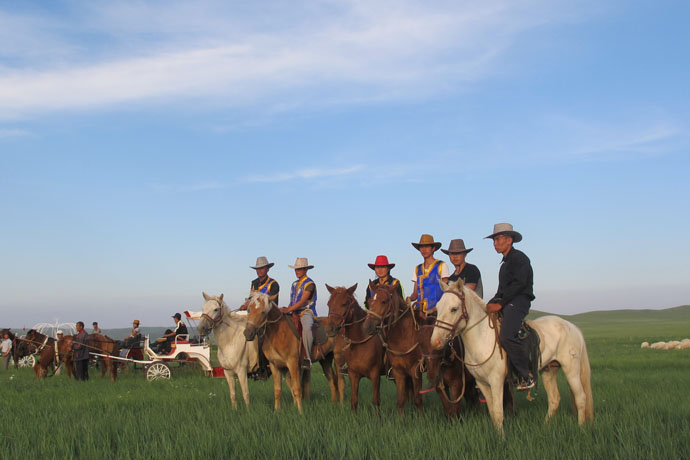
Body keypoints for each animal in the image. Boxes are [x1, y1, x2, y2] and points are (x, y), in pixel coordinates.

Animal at [326, 284, 384, 414]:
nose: (330, 329)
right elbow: (354, 401)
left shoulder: (375, 375)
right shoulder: (353, 374)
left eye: (344, 304)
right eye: (329, 304)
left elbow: (376, 401)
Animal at [362, 282, 422, 416]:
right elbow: (400, 401)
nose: (367, 327)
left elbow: (418, 399)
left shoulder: (415, 370)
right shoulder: (398, 371)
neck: (404, 336)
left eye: (384, 301)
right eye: (369, 301)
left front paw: (420, 417)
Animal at [428, 280, 592, 434]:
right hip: (549, 370)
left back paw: (581, 428)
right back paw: (545, 427)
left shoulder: (496, 381)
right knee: (554, 400)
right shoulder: (482, 383)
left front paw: (502, 440)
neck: (482, 337)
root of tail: (572, 327)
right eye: (438, 307)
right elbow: (493, 413)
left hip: (571, 370)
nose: (435, 342)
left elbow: (498, 413)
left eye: (454, 309)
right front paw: (497, 436)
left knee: (581, 397)